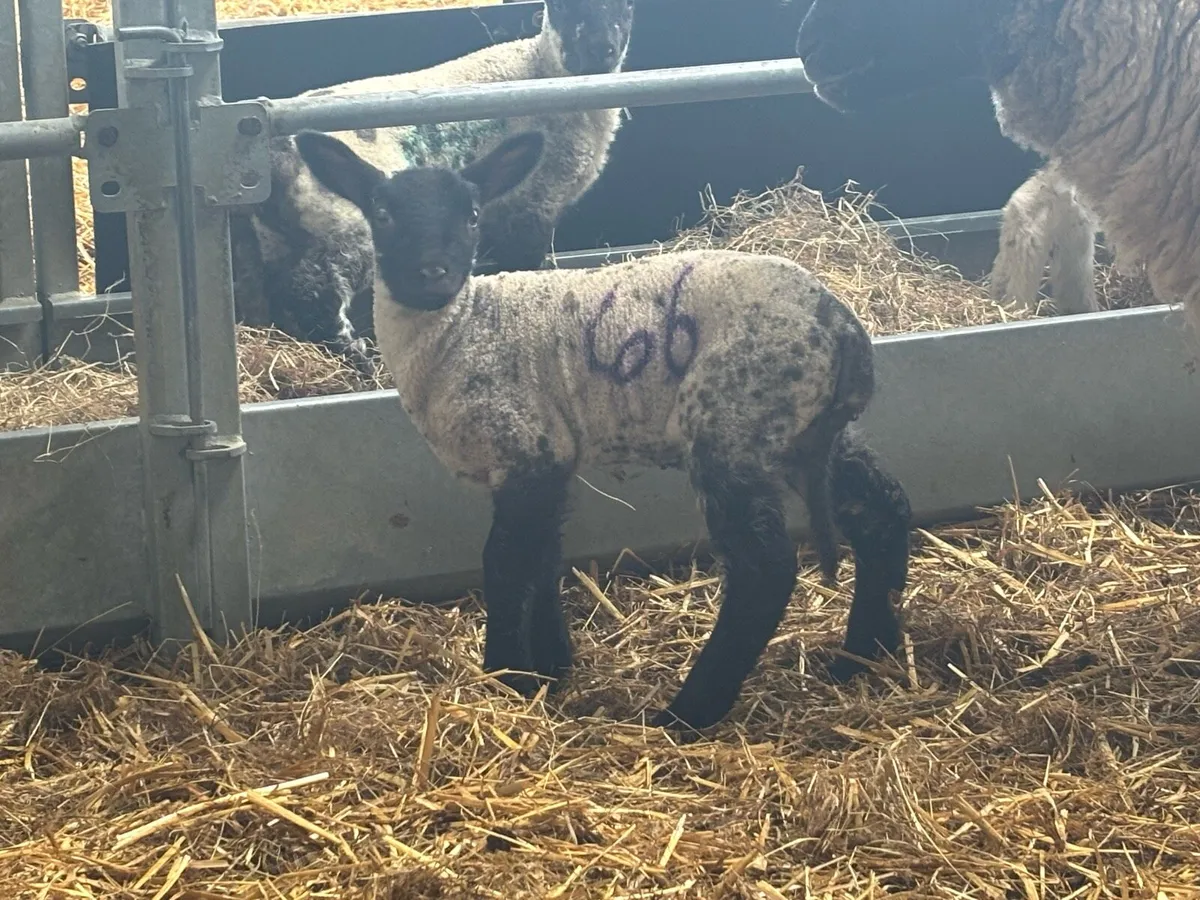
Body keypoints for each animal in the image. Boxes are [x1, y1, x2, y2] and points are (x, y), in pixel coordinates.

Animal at [232, 0, 636, 371]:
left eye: (626, 6)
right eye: (563, 7)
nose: (601, 49)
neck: (542, 70)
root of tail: (272, 157)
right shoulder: (531, 204)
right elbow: (521, 265)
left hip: (275, 241)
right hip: (344, 230)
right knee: (312, 296)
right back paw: (359, 359)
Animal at [290, 127, 914, 732]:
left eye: (471, 213)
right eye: (381, 212)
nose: (432, 275)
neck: (463, 328)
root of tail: (843, 328)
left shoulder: (524, 447)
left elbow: (505, 564)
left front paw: (504, 677)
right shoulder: (549, 452)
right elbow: (542, 558)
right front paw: (550, 668)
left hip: (734, 421)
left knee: (764, 570)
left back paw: (687, 714)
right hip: (801, 429)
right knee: (881, 509)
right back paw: (862, 656)